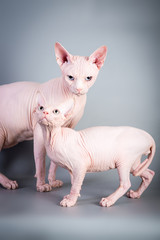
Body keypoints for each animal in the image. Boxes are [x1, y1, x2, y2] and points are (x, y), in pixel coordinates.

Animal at [0, 41, 107, 191]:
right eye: (70, 77)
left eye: (88, 78)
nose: (79, 89)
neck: (73, 99)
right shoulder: (39, 132)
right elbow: (40, 162)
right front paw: (41, 185)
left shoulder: (66, 128)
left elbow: (55, 161)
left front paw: (52, 180)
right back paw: (7, 182)